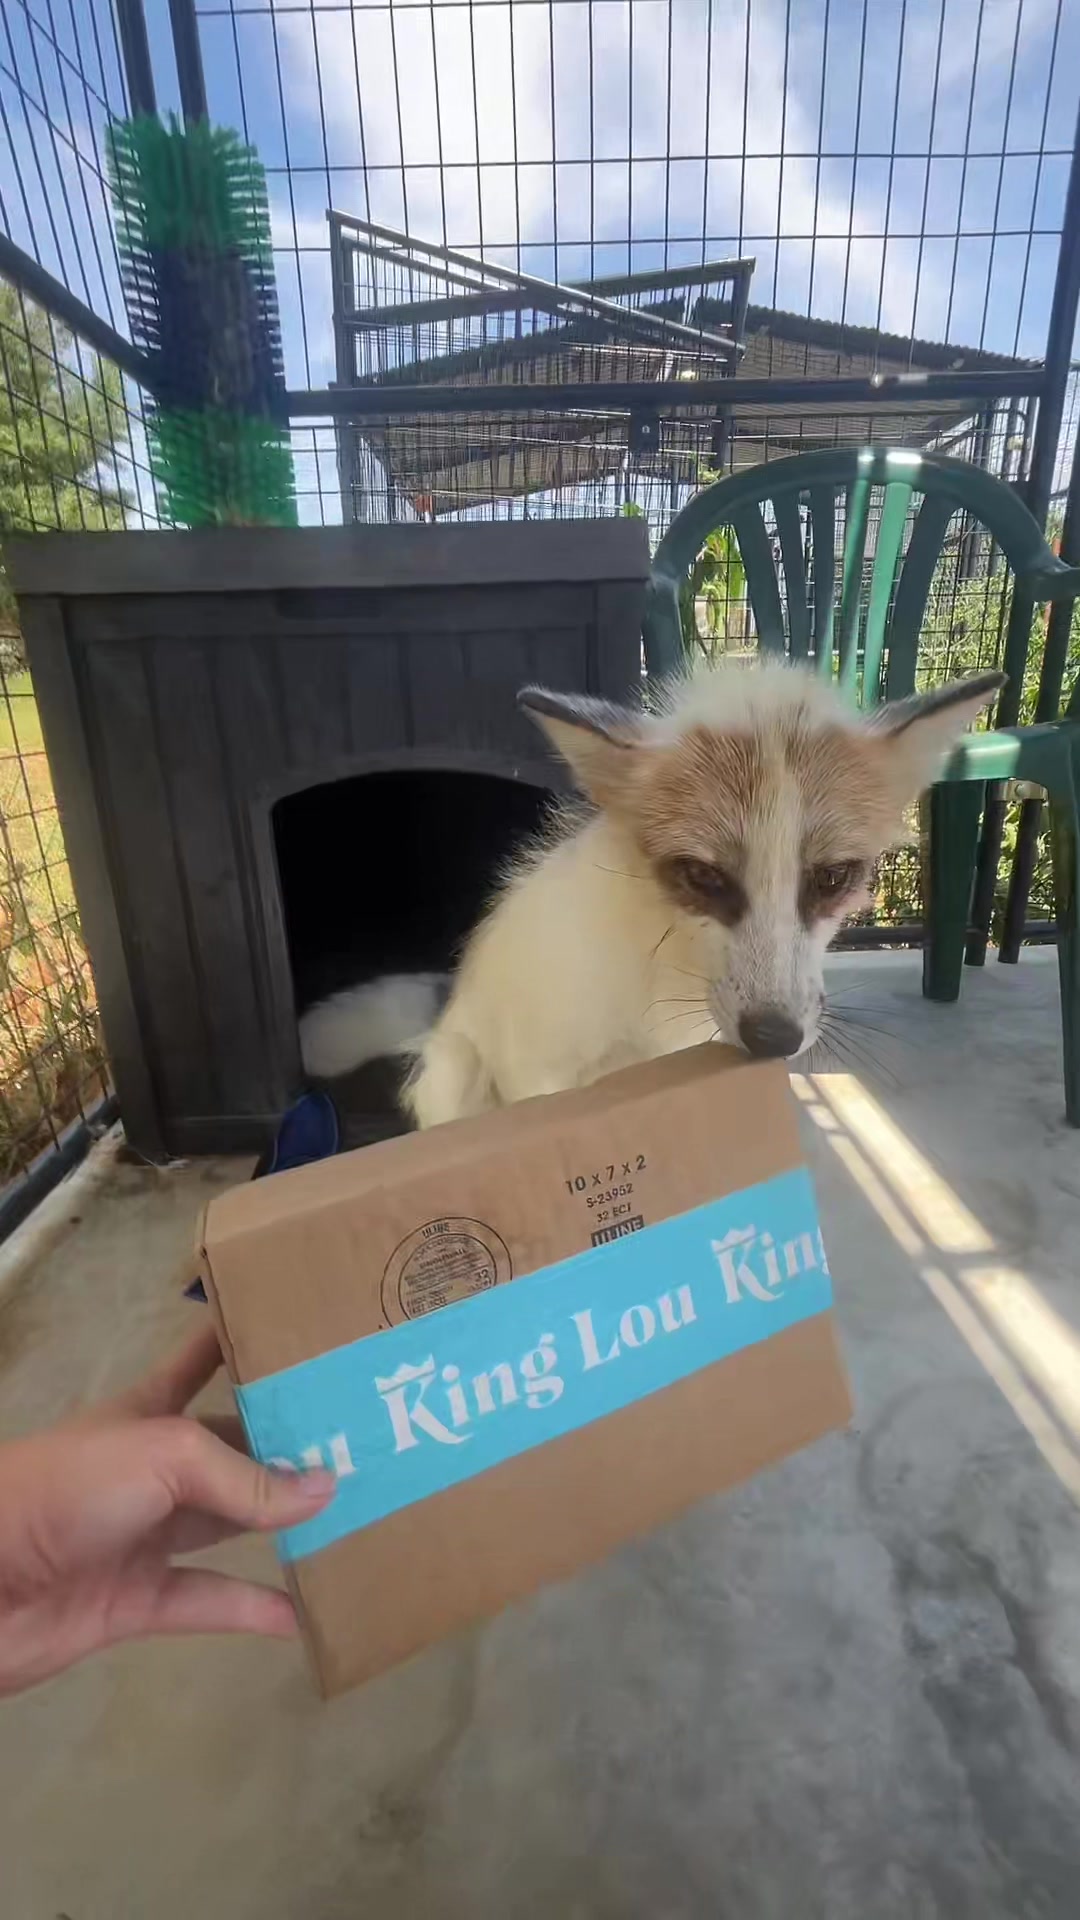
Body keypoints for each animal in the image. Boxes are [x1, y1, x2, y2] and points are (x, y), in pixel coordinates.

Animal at [298, 658, 1004, 1128]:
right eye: (705, 878)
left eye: (831, 878)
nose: (773, 1039)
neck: (656, 987)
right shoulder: (541, 1080)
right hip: (456, 1075)